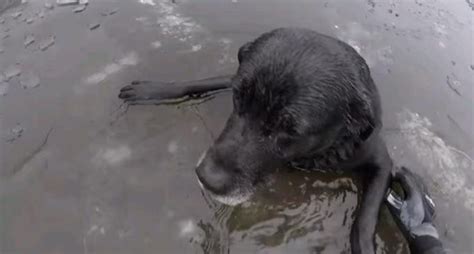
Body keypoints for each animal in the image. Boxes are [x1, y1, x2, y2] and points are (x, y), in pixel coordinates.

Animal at [119, 27, 392, 254]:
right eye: (238, 98)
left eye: (290, 130)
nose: (207, 178)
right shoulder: (234, 80)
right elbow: (199, 82)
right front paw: (152, 90)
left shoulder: (381, 161)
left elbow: (365, 221)